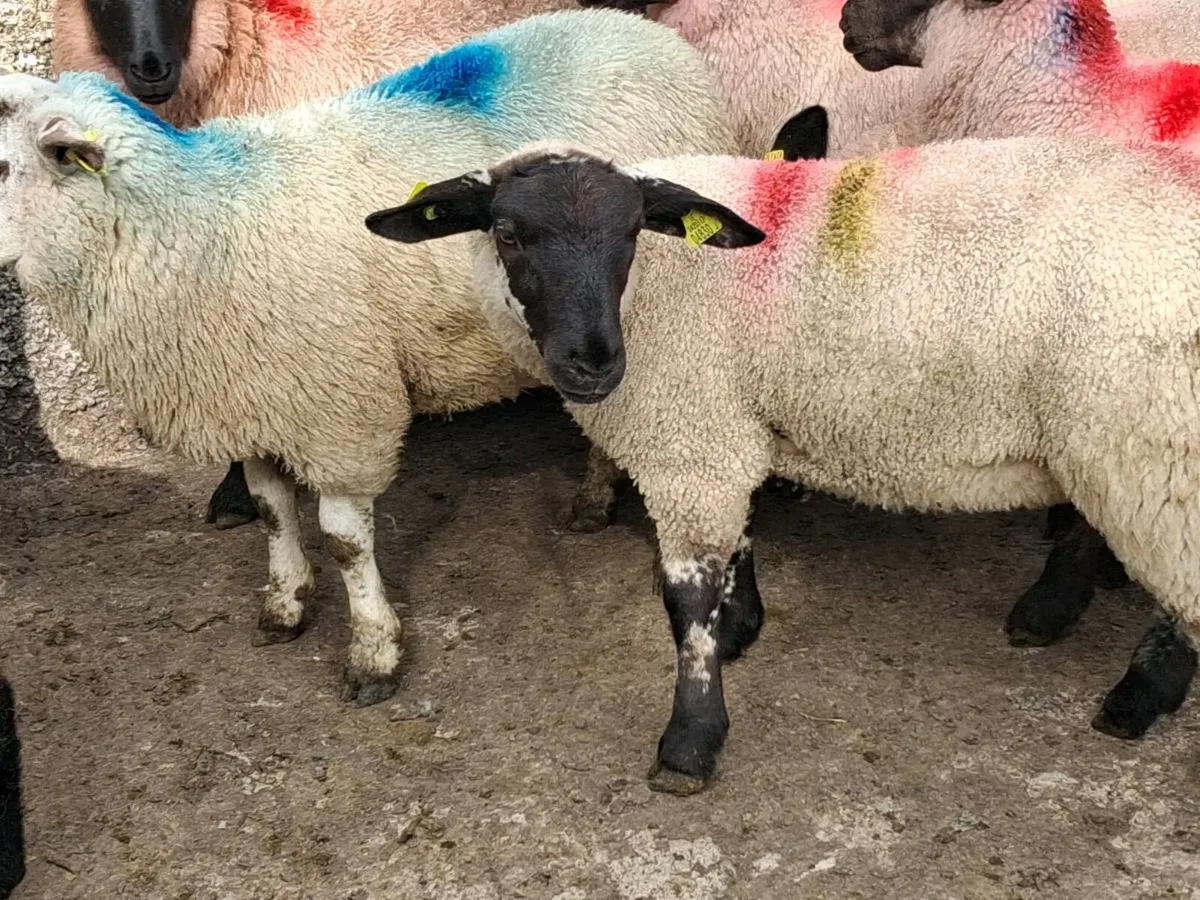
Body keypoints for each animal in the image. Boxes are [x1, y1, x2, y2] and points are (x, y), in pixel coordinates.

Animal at [0, 8, 739, 704]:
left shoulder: (340, 409)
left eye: (4, 166)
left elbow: (344, 540)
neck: (199, 222)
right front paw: (286, 604)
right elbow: (271, 509)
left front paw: (373, 652)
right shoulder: (252, 397)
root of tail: (638, 29)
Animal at [366, 135, 1200, 790]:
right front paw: (742, 627)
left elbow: (685, 604)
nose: (593, 366)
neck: (658, 290)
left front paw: (690, 743)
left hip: (1150, 442)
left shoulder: (690, 443)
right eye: (507, 232)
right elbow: (739, 543)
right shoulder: (722, 432)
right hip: (1109, 436)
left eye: (633, 233)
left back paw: (1137, 696)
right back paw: (1050, 615)